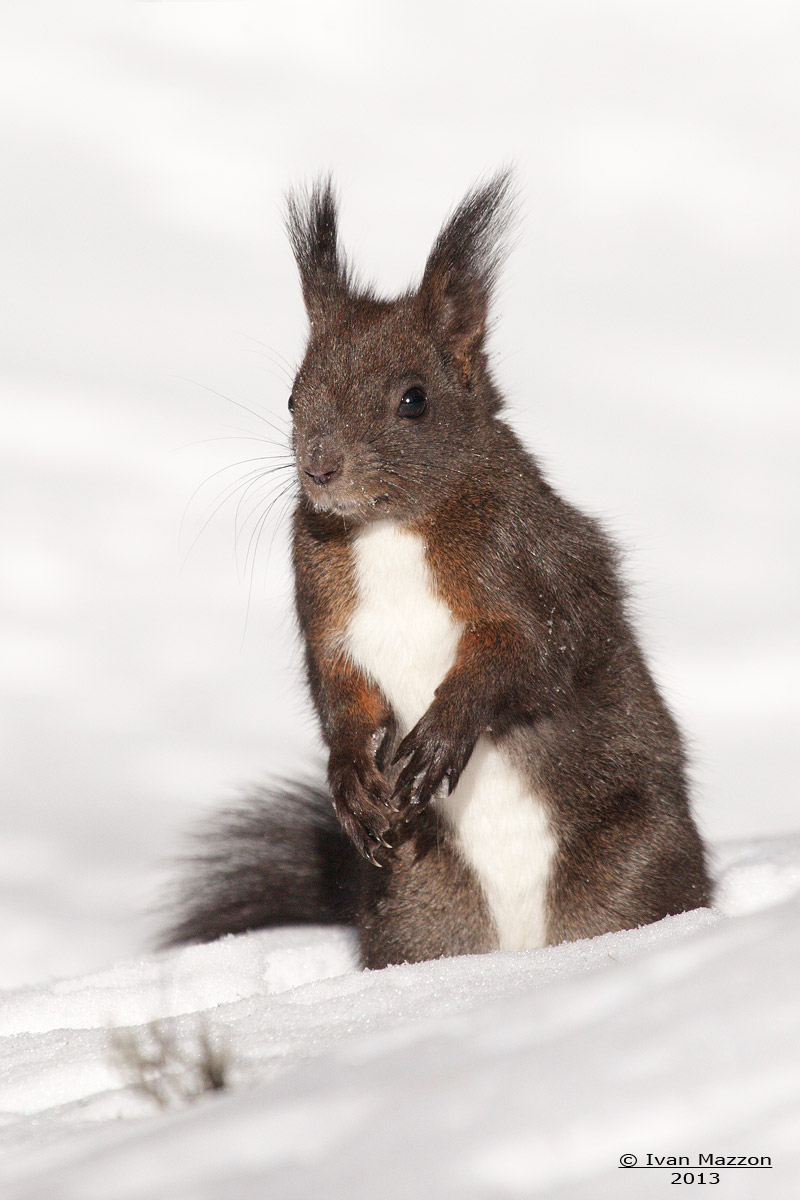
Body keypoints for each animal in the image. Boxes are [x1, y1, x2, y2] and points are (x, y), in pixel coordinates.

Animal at [165, 171, 712, 969]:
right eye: (293, 396)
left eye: (414, 399)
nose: (319, 467)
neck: (389, 529)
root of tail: (521, 952)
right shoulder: (325, 611)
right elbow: (339, 691)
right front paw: (351, 778)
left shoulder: (534, 565)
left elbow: (535, 654)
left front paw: (443, 733)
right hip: (415, 904)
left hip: (634, 869)